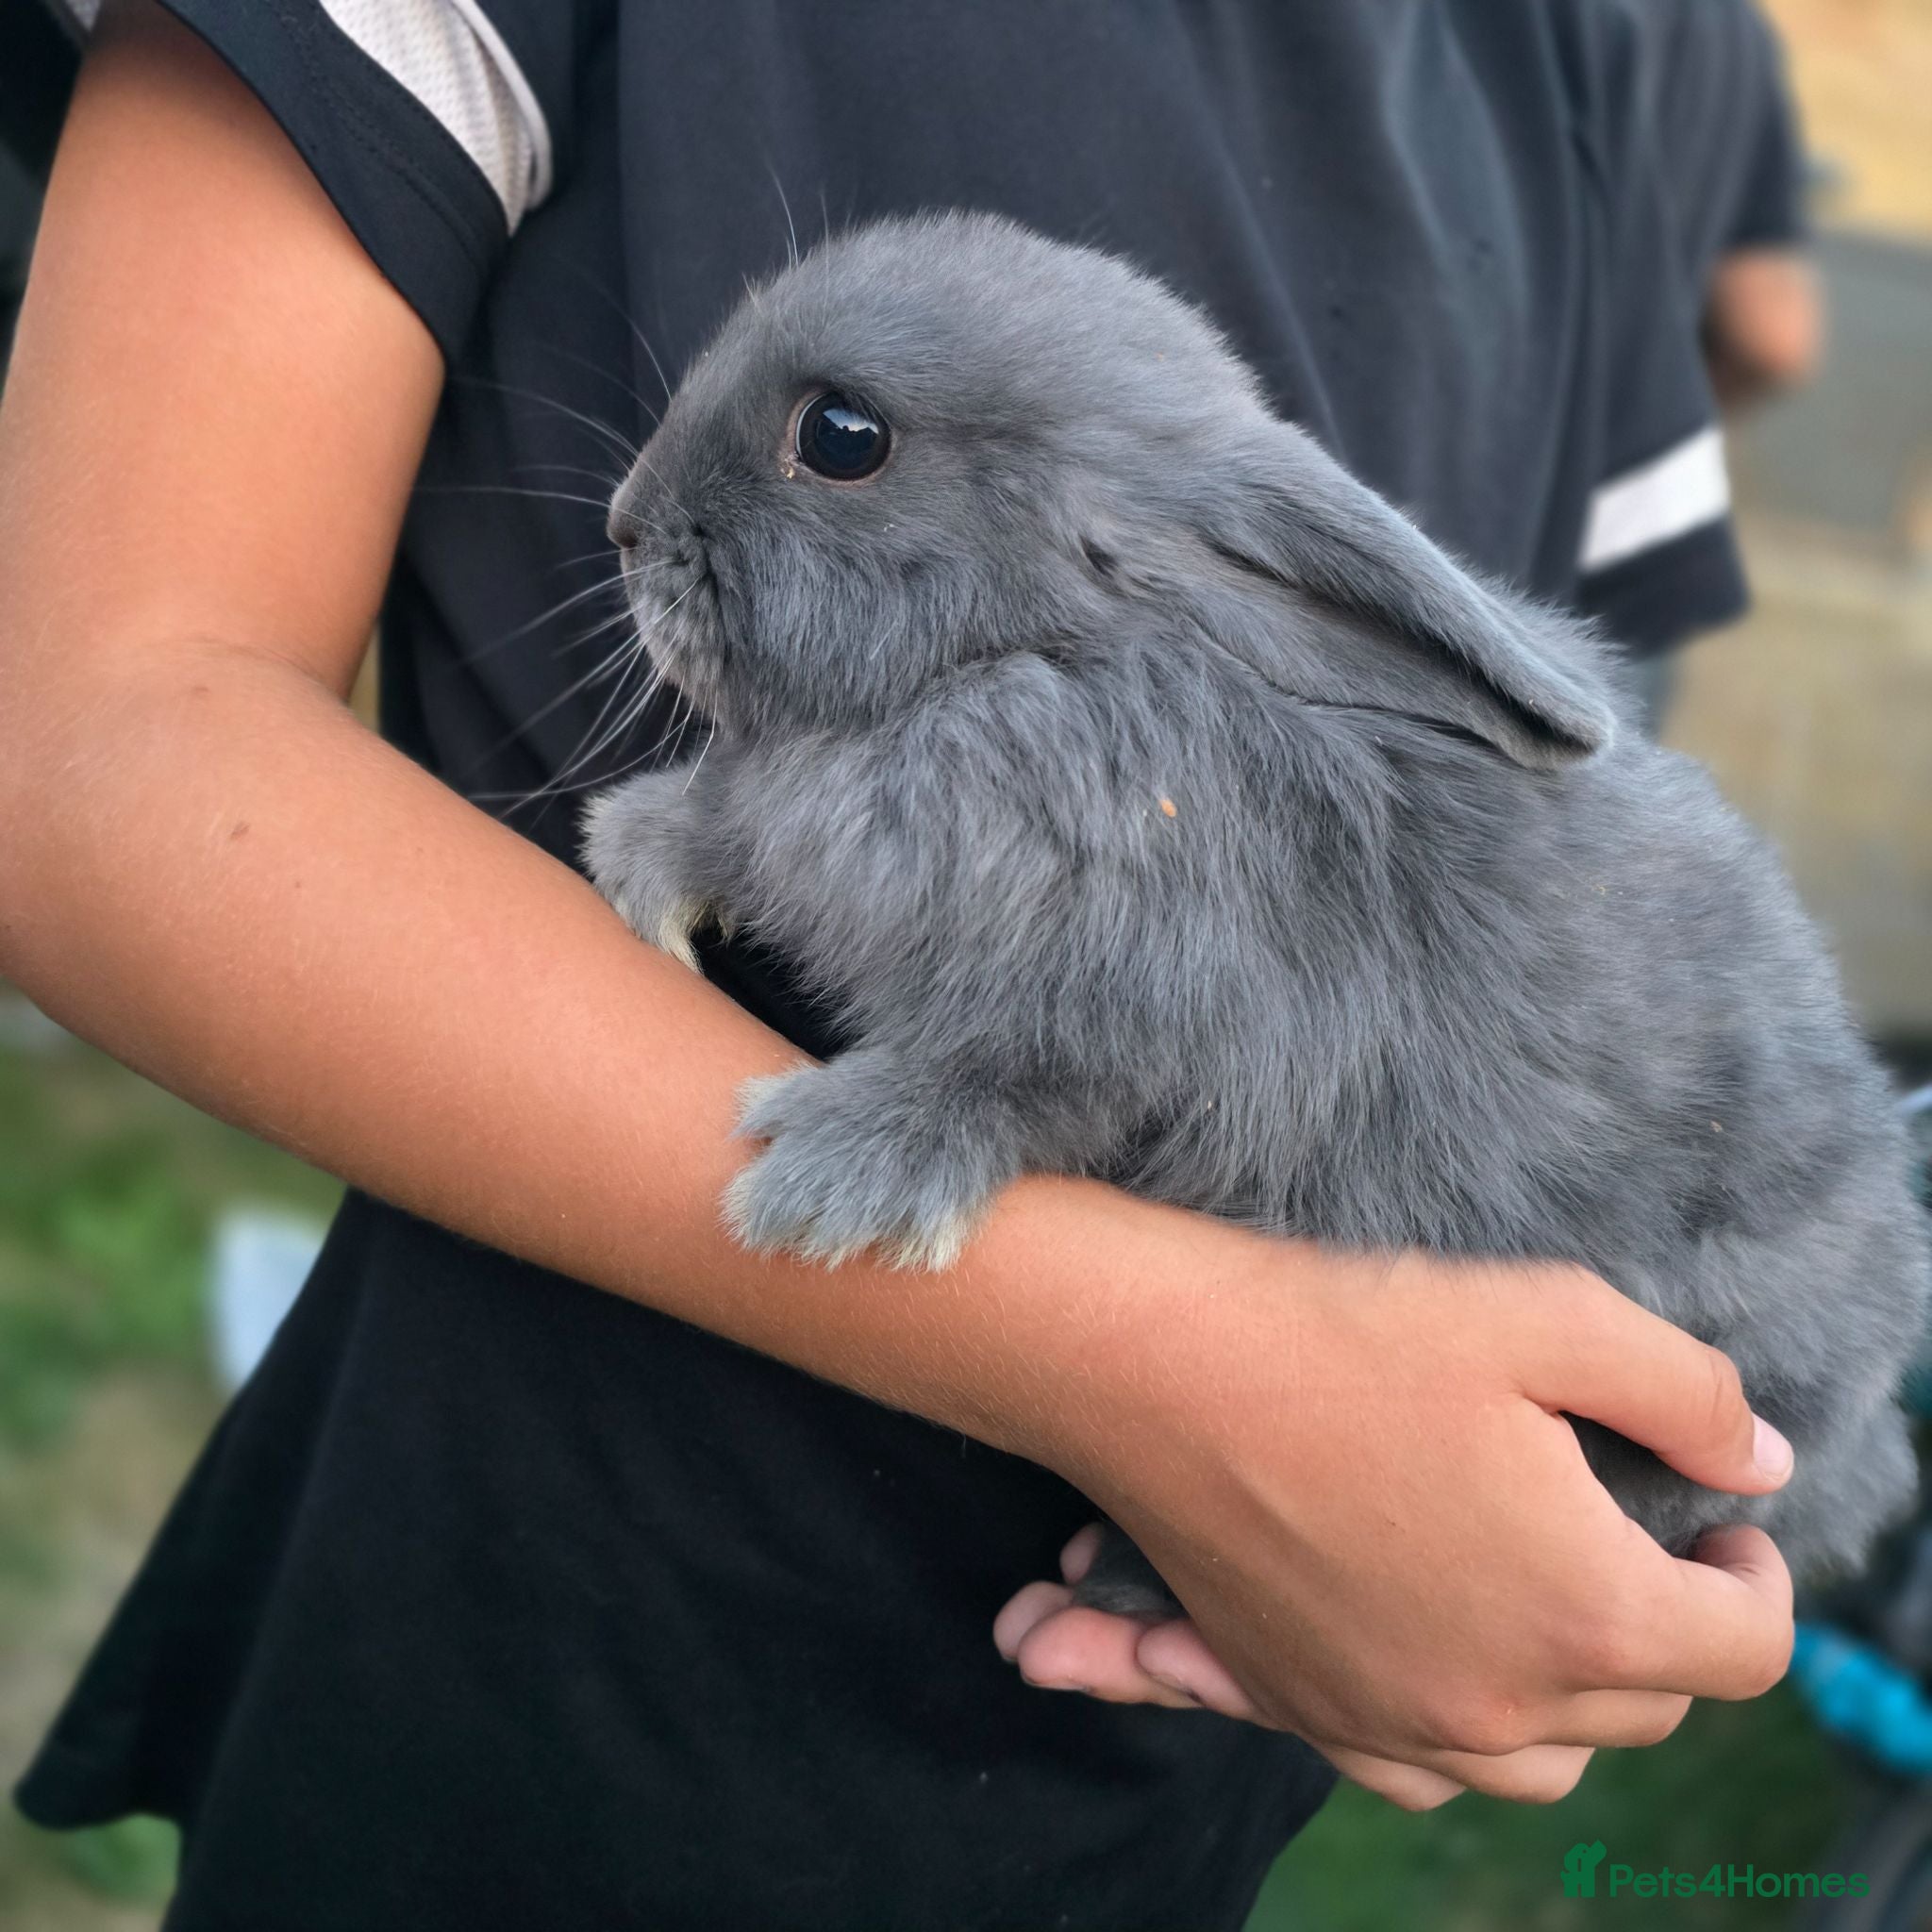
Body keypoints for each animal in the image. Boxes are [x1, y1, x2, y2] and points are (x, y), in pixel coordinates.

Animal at [583, 211, 1927, 1616]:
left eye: (842, 436)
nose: (625, 525)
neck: (1042, 664)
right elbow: (733, 828)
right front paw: (642, 858)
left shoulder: (1141, 1025)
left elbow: (1006, 1088)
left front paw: (831, 1175)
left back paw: (1132, 1578)